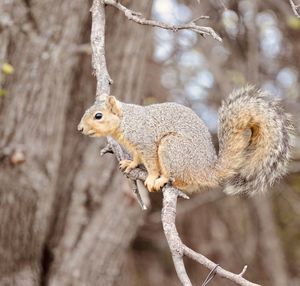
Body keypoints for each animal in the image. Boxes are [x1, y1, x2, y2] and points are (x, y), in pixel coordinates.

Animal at [77, 86, 292, 196]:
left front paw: (151, 177)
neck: (126, 121)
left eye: (98, 116)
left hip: (172, 148)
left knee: (181, 179)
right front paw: (130, 164)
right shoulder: (137, 148)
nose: (80, 129)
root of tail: (207, 171)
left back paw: (163, 179)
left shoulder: (146, 142)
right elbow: (137, 158)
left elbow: (151, 164)